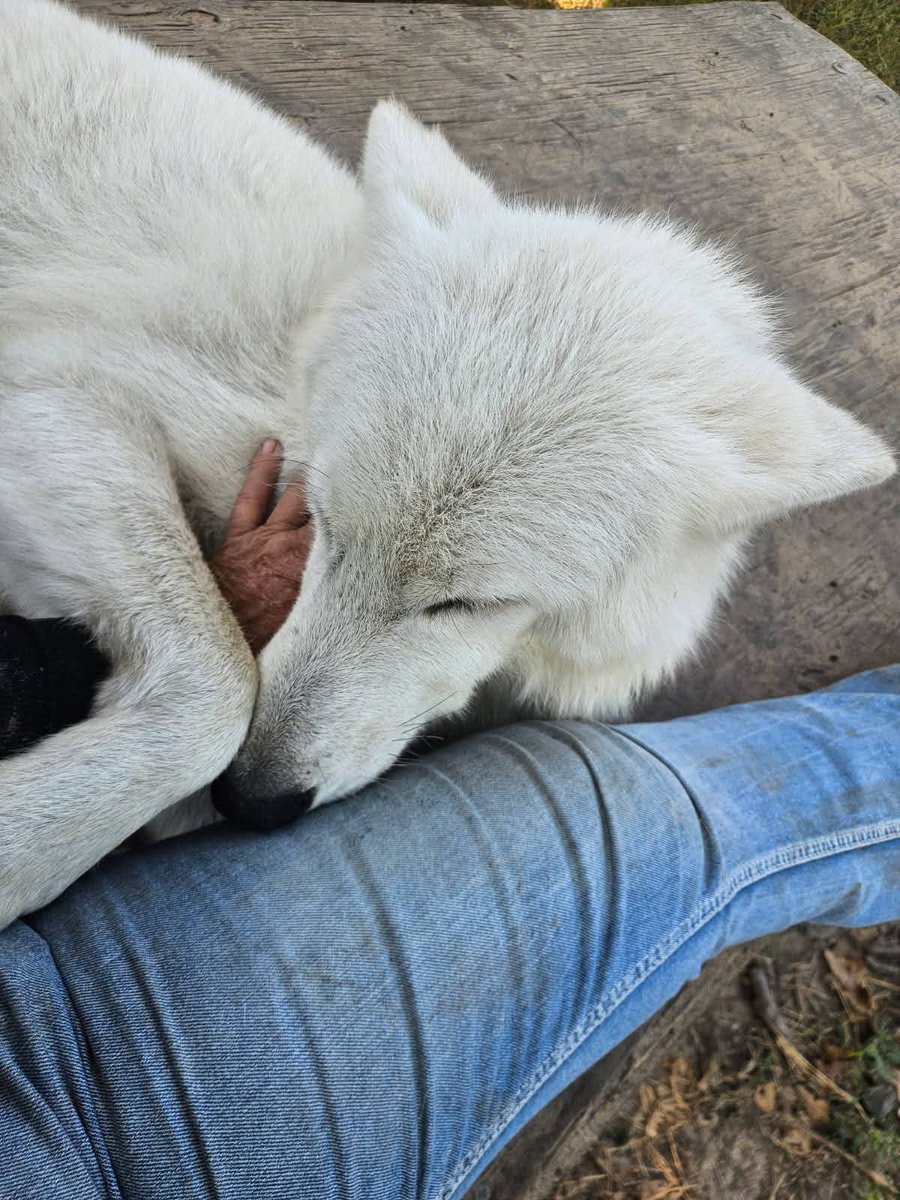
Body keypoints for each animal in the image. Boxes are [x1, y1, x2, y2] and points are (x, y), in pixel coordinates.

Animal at [0, 0, 893, 927]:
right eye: (325, 528)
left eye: (465, 604)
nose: (251, 799)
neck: (296, 356)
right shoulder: (56, 390)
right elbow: (218, 689)